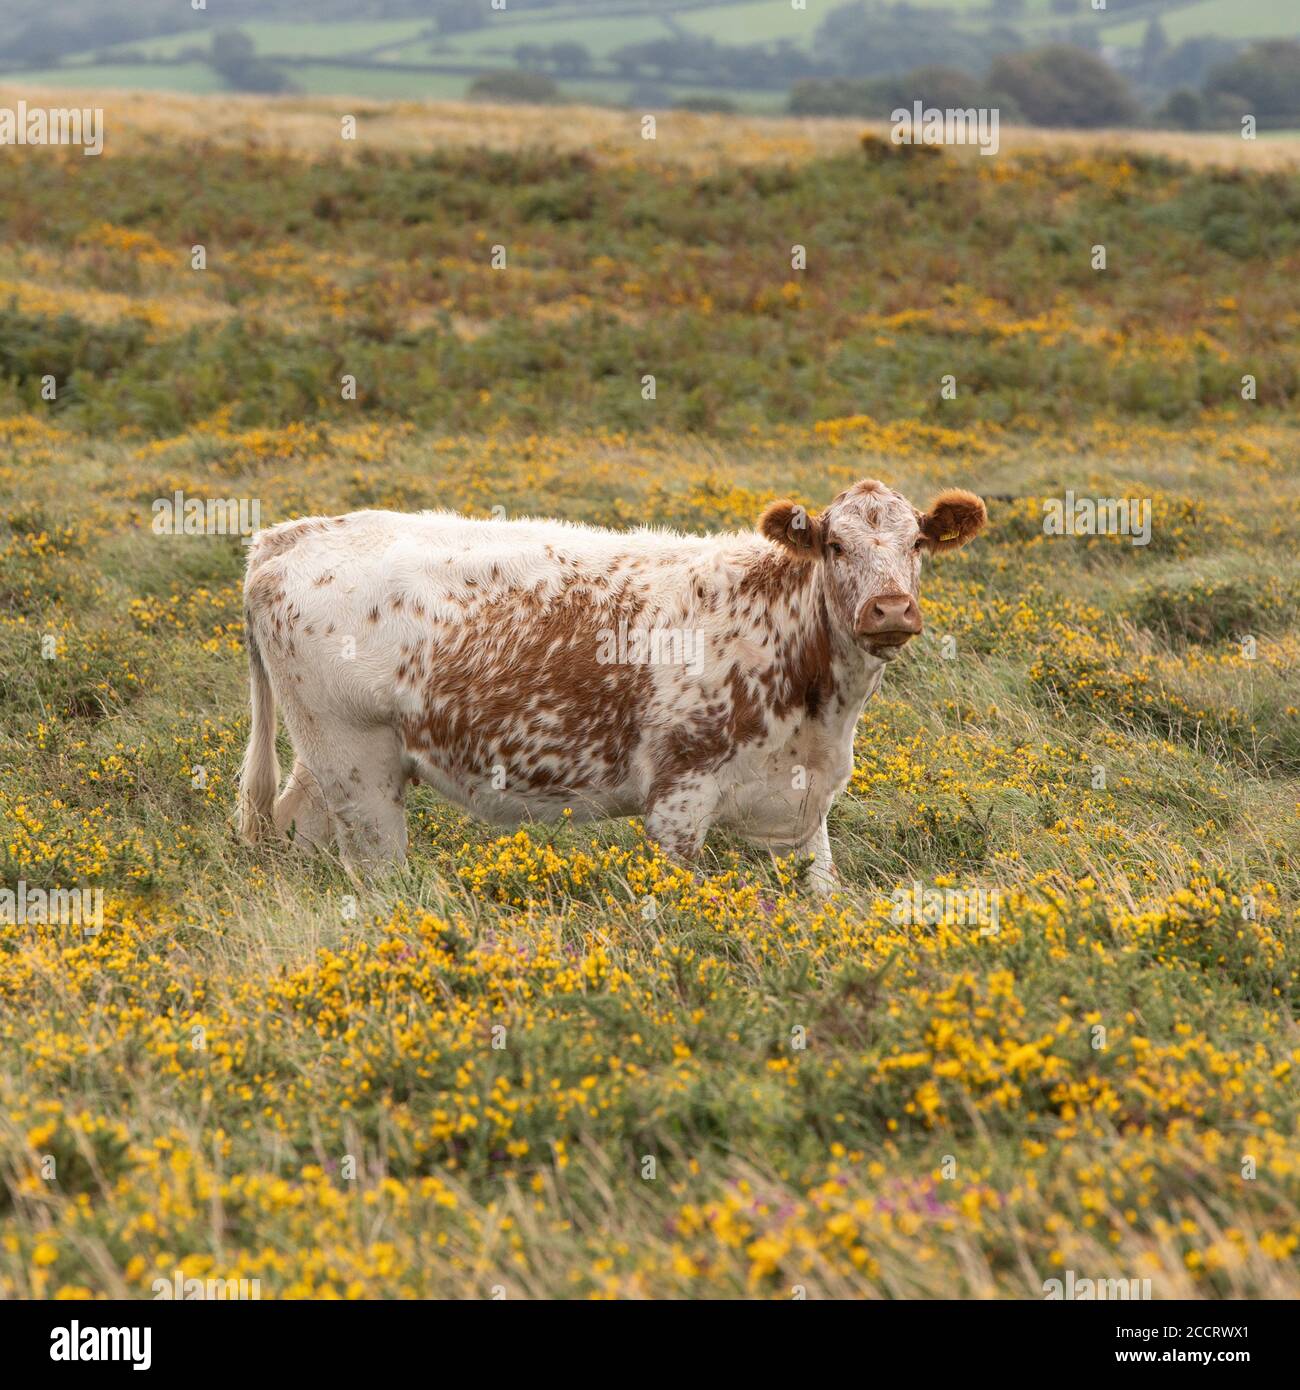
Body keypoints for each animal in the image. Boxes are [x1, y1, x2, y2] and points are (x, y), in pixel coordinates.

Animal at [236, 480, 984, 889]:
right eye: (834, 546)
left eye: (917, 543)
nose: (889, 609)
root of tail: (294, 533)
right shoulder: (678, 799)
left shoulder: (804, 802)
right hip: (357, 762)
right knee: (378, 871)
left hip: (324, 759)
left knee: (297, 826)